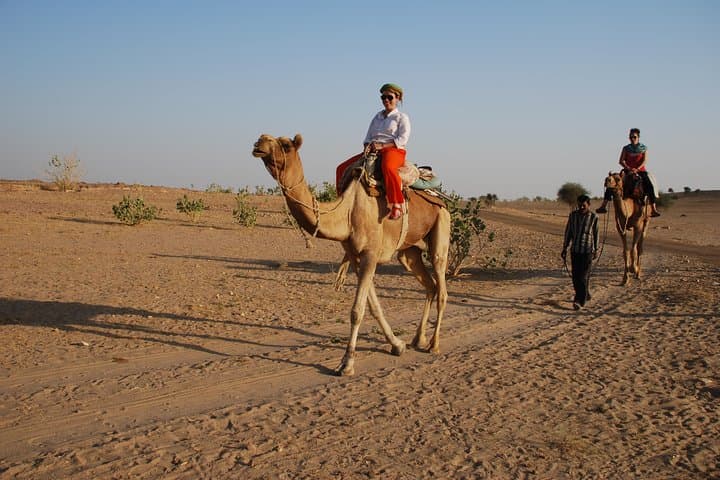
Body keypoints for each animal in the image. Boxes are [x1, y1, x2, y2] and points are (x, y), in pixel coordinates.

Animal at [251, 134, 450, 376]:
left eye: (286, 145)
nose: (259, 142)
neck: (347, 212)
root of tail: (438, 197)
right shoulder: (356, 257)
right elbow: (373, 306)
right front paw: (397, 345)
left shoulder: (370, 254)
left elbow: (357, 310)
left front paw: (347, 363)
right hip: (408, 250)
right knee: (429, 285)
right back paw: (417, 339)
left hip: (442, 224)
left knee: (441, 284)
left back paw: (434, 345)